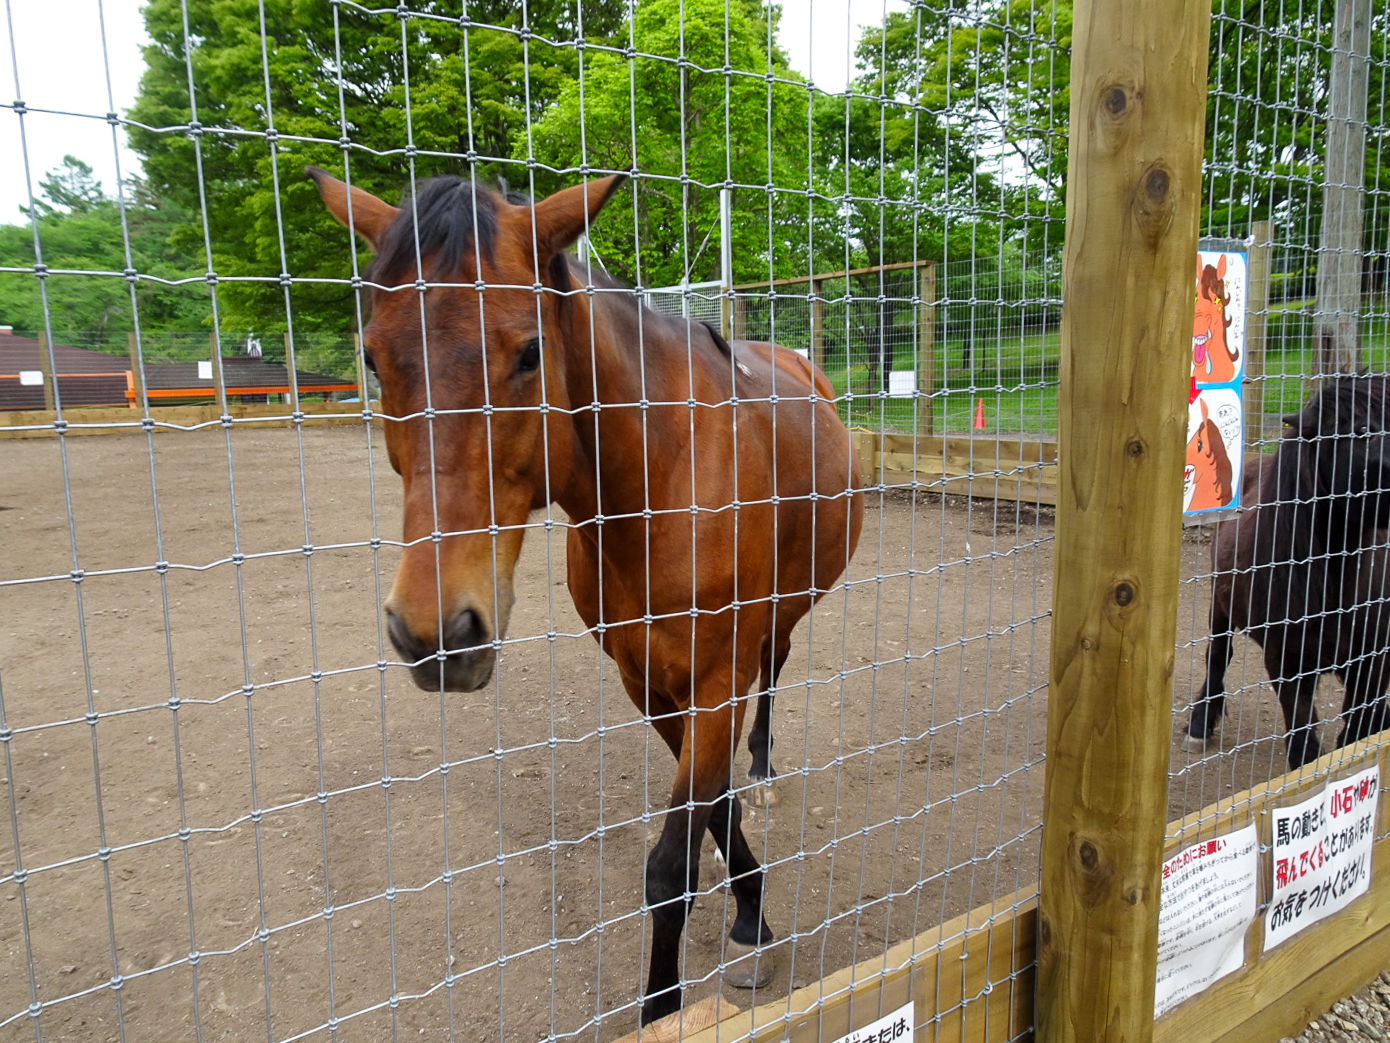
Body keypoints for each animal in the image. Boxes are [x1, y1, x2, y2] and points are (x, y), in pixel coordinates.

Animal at [309, 167, 861, 1023]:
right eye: (372, 358)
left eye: (530, 351)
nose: (436, 630)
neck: (661, 478)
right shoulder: (647, 682)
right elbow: (713, 807)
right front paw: (749, 909)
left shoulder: (715, 678)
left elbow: (671, 865)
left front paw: (670, 1002)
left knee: (776, 663)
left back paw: (765, 760)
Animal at [1189, 375, 1390, 767]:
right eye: (1361, 429)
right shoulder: (1286, 659)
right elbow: (1305, 748)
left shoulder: (1374, 660)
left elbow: (1358, 732)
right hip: (1219, 606)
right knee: (1218, 656)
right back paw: (1200, 721)